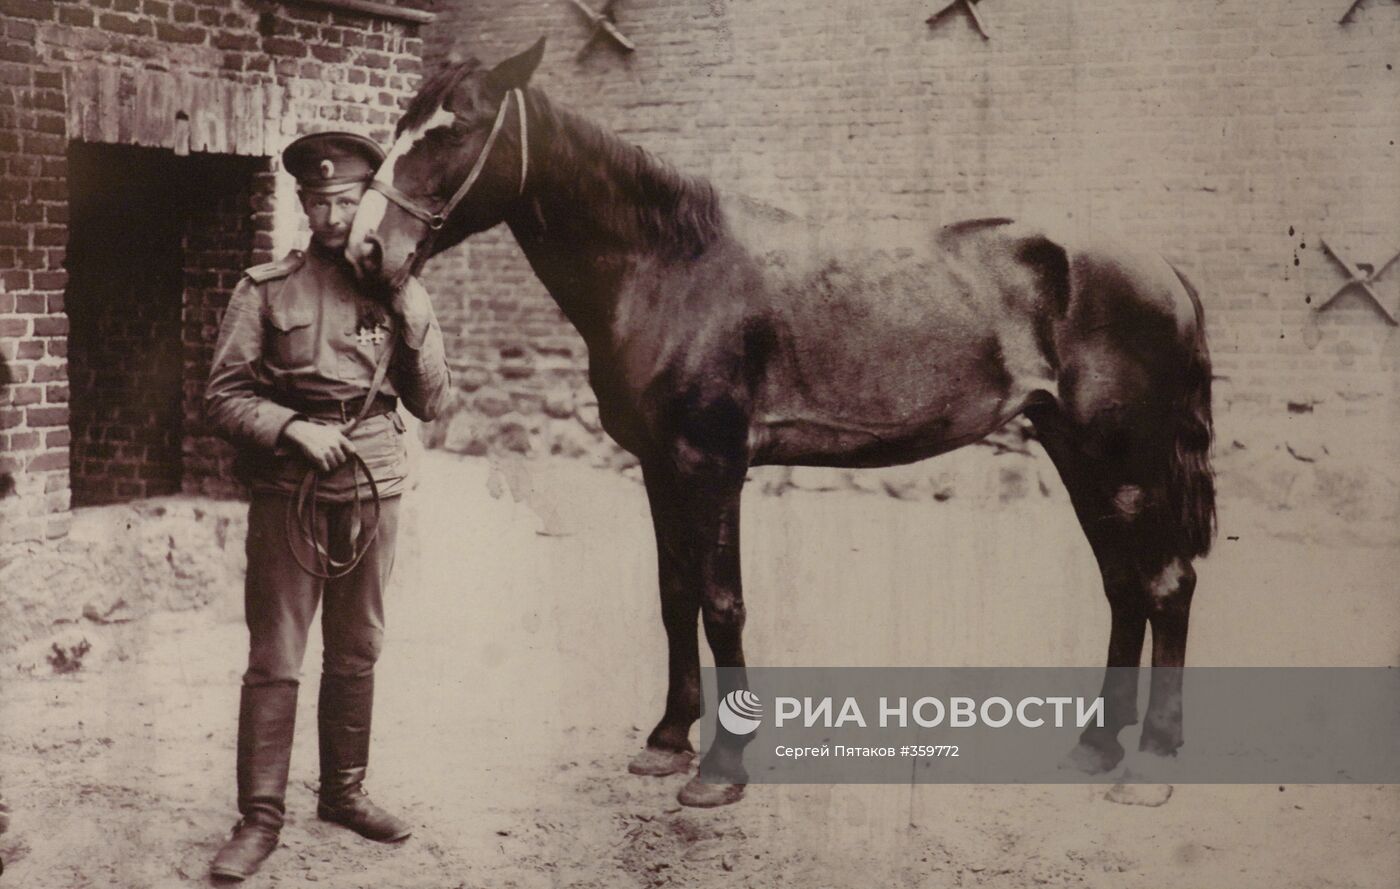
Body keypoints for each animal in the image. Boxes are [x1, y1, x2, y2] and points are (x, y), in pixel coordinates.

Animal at [347, 40, 1215, 806]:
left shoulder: (714, 463)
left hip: (1124, 461)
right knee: (1124, 585)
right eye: (401, 121)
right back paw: (1095, 746)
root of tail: (1166, 273)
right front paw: (668, 739)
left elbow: (723, 602)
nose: (365, 248)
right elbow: (674, 592)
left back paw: (1151, 764)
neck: (674, 270)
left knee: (1167, 583)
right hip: (1080, 454)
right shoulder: (659, 466)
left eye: (455, 127)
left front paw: (722, 767)